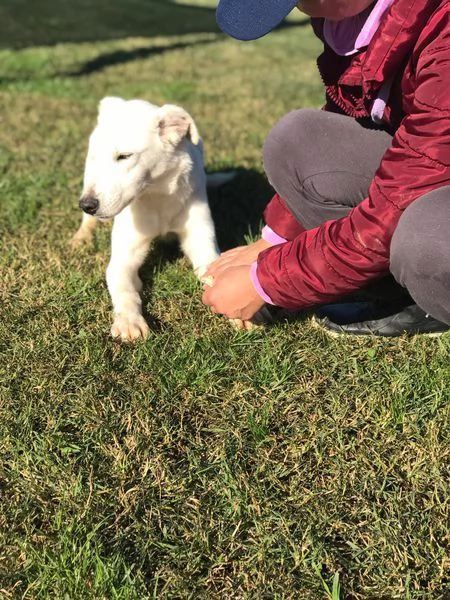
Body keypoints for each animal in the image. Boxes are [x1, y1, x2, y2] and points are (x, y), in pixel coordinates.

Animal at [72, 98, 225, 342]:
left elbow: (217, 272)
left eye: (124, 156)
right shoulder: (123, 259)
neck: (156, 195)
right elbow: (125, 289)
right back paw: (81, 236)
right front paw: (129, 321)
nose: (87, 205)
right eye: (97, 156)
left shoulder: (202, 243)